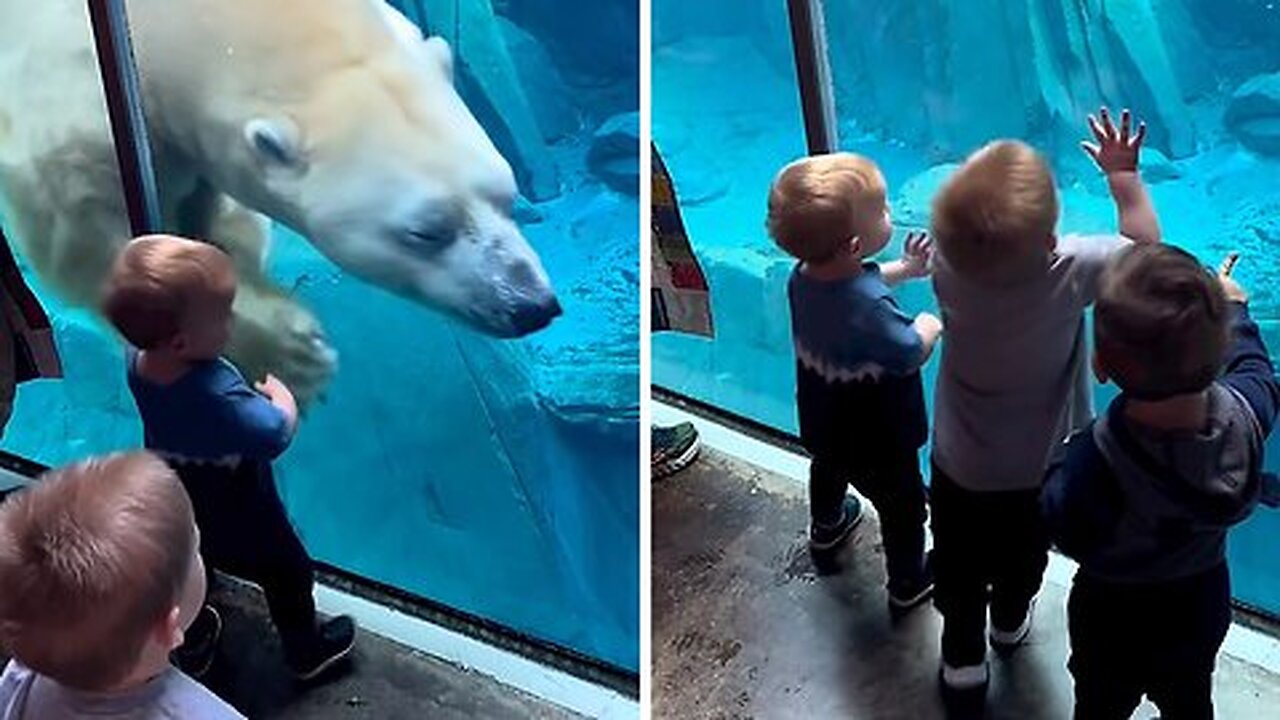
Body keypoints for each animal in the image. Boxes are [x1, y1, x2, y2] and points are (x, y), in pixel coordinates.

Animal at [0, 0, 560, 404]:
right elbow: (87, 233)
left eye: (507, 194)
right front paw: (292, 355)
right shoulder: (74, 82)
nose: (531, 306)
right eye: (426, 231)